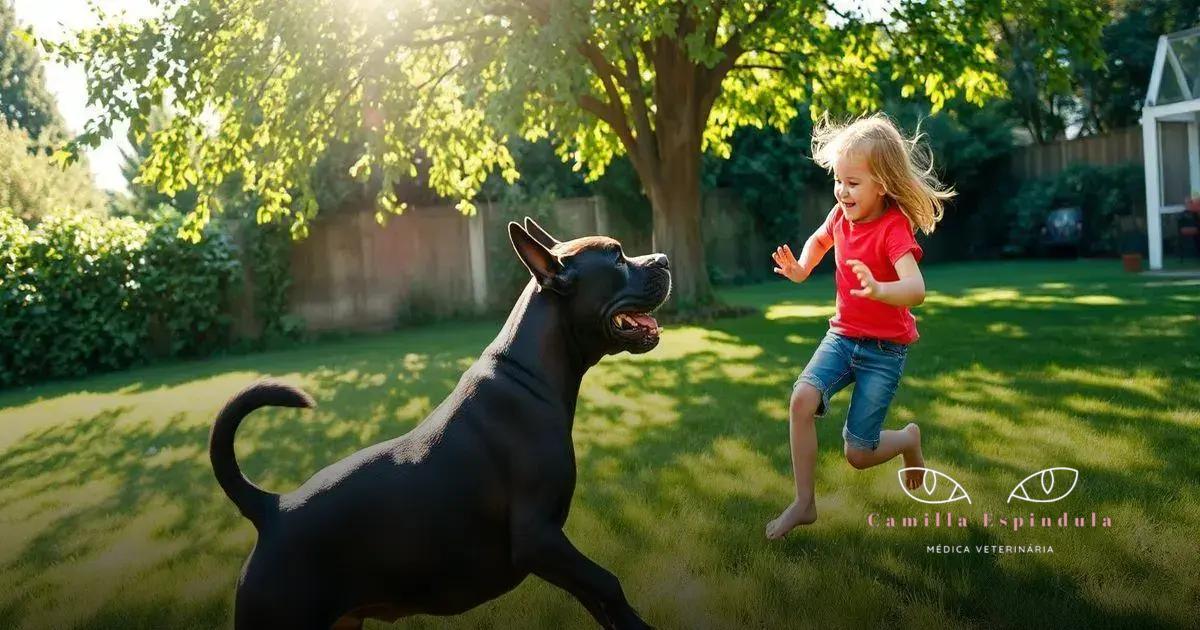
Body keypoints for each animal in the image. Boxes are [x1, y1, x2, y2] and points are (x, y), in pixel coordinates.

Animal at [211, 217, 672, 628]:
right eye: (616, 257)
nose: (664, 258)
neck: (529, 373)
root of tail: (271, 509)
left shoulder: (556, 552)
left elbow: (600, 600)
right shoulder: (539, 539)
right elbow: (608, 584)